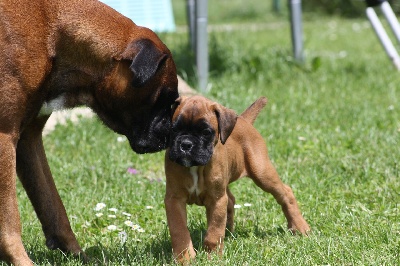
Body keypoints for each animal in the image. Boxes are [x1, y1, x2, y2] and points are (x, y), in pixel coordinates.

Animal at [0, 0, 178, 264]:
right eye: (164, 98)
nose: (170, 132)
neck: (52, 32)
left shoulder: (27, 140)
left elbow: (53, 206)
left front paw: (76, 254)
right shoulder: (5, 138)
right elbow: (10, 219)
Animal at [164, 95, 310, 262]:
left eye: (206, 132)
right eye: (174, 129)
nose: (186, 144)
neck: (196, 167)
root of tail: (243, 120)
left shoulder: (216, 200)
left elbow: (214, 232)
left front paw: (213, 258)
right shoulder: (174, 200)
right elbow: (179, 230)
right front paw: (185, 258)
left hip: (262, 173)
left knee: (286, 192)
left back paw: (300, 227)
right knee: (231, 200)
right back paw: (228, 233)